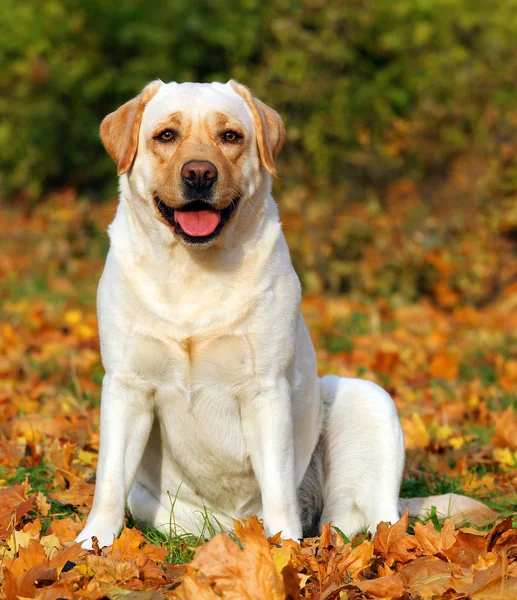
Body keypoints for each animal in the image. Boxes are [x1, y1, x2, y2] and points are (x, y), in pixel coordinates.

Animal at [76, 82, 492, 552]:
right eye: (166, 135)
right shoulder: (126, 386)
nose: (199, 173)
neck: (193, 270)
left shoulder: (265, 388)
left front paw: (285, 551)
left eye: (231, 136)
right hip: (161, 508)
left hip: (368, 400)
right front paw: (91, 544)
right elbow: (109, 482)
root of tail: (233, 525)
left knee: (374, 519)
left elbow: (276, 486)